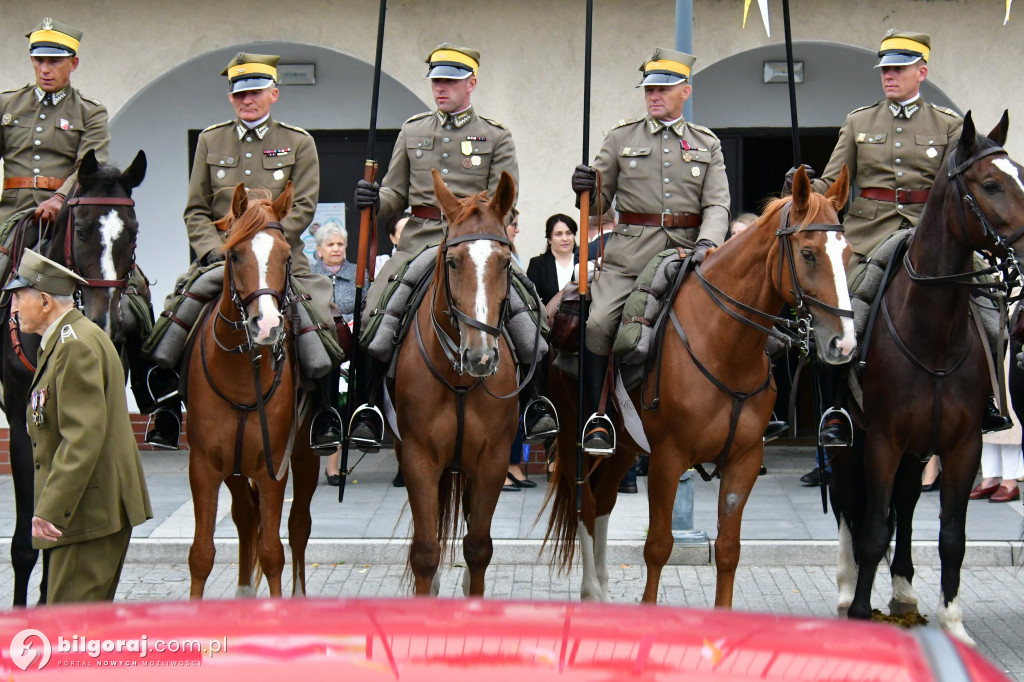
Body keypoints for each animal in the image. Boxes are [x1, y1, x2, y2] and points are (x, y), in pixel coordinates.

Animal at [184, 183, 317, 598]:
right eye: (234, 253)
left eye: (286, 255)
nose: (267, 325)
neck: (244, 375)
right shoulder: (205, 467)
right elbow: (201, 554)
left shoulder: (273, 467)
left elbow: (273, 551)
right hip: (235, 469)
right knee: (245, 518)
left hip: (304, 456)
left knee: (298, 525)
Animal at [391, 166, 520, 593]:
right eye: (452, 262)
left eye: (505, 263)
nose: (480, 357)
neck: (460, 380)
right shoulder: (417, 459)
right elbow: (425, 552)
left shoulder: (493, 461)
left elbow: (478, 548)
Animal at [544, 163, 856, 602]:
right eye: (808, 253)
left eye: (848, 253)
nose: (844, 342)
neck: (724, 346)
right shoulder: (667, 459)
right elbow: (658, 546)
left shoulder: (745, 460)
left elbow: (728, 550)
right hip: (576, 434)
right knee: (586, 504)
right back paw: (592, 592)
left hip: (625, 446)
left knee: (603, 502)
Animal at [827, 111, 1024, 643]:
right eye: (991, 183)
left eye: (1021, 174)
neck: (932, 331)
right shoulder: (882, 441)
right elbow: (873, 530)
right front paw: (859, 612)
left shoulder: (962, 445)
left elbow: (951, 535)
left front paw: (953, 620)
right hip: (850, 441)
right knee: (850, 507)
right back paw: (847, 589)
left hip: (919, 449)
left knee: (909, 503)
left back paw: (903, 592)